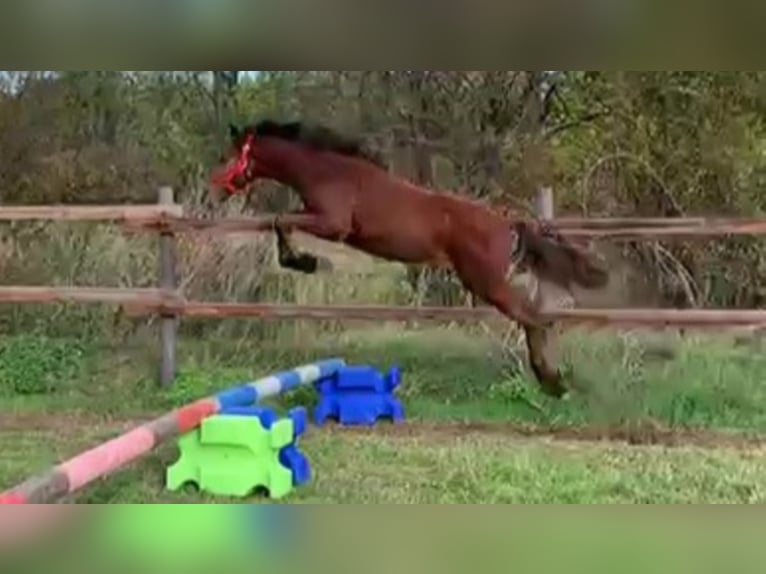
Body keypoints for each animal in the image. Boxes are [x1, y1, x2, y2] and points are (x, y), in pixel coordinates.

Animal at [210, 119, 609, 398]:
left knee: (534, 319)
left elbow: (281, 220)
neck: (328, 171)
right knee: (537, 316)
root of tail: (505, 223)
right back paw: (553, 381)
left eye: (234, 155)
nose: (217, 185)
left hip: (486, 282)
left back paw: (553, 381)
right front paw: (303, 260)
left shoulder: (333, 225)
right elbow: (281, 221)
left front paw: (304, 261)